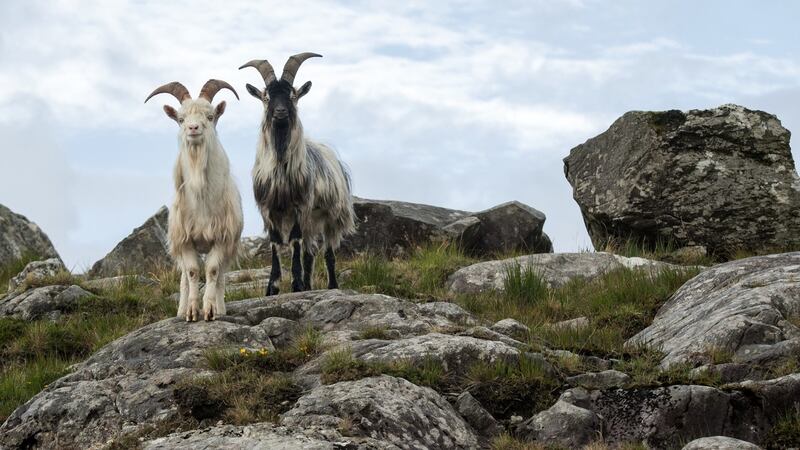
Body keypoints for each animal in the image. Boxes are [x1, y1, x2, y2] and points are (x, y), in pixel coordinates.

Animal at [145, 80, 243, 321]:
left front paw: (209, 310)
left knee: (220, 276)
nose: (193, 128)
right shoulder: (185, 240)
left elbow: (212, 271)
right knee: (183, 277)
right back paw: (180, 310)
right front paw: (190, 311)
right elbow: (191, 272)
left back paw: (220, 308)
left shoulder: (222, 238)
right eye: (180, 119)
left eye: (210, 116)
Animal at [240, 53, 355, 295]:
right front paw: (273, 287)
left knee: (328, 252)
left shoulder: (300, 207)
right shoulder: (268, 209)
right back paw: (309, 286)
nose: (280, 112)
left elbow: (294, 241)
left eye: (292, 95)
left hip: (331, 216)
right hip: (312, 221)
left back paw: (331, 286)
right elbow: (276, 243)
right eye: (266, 97)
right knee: (310, 253)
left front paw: (296, 284)